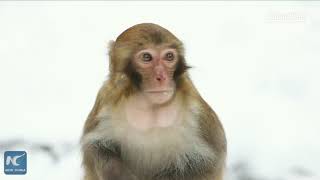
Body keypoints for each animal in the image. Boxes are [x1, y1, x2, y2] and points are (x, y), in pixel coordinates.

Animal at [81, 22, 226, 180]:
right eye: (146, 57)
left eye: (169, 56)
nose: (162, 77)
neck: (151, 106)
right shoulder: (107, 99)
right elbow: (95, 146)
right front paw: (115, 171)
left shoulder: (197, 112)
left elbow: (209, 162)